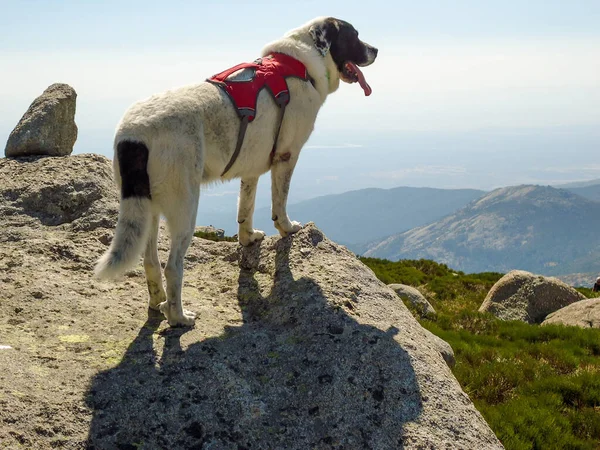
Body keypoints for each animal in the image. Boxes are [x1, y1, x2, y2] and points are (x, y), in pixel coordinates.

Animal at [94, 16, 378, 326]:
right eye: (354, 36)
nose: (375, 50)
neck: (302, 62)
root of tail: (133, 134)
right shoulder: (286, 157)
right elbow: (280, 203)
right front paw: (288, 228)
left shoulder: (251, 167)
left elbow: (246, 208)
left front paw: (248, 238)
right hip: (185, 207)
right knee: (173, 266)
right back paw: (179, 316)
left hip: (148, 208)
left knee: (150, 261)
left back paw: (158, 302)